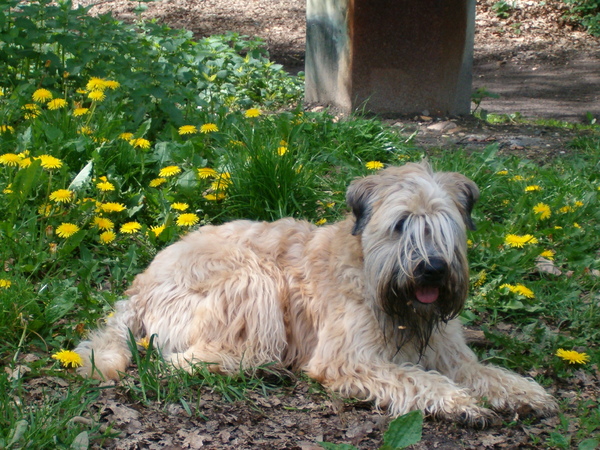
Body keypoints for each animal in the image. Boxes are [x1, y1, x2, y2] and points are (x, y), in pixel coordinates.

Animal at [75, 161, 556, 426]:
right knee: (183, 360)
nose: (432, 269)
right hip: (253, 278)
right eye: (401, 224)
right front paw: (459, 403)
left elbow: (485, 373)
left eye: (445, 226)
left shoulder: (450, 354)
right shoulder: (350, 359)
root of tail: (139, 285)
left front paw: (526, 393)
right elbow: (416, 379)